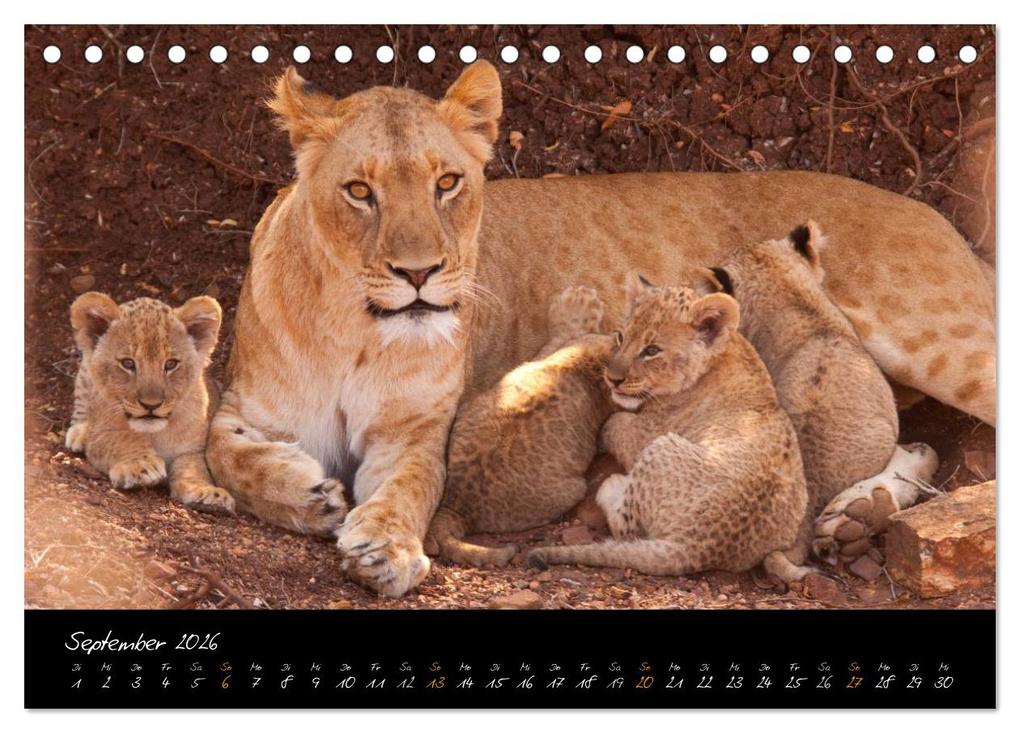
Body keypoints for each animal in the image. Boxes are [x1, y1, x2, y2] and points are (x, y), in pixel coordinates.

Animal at [67, 293, 233, 513]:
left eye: (171, 364)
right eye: (128, 363)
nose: (151, 405)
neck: (156, 433)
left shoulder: (191, 449)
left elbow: (194, 468)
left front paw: (206, 492)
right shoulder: (101, 434)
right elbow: (122, 439)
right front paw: (139, 465)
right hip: (86, 369)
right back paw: (79, 433)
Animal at [206, 61, 995, 597]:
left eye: (447, 183)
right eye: (359, 191)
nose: (420, 273)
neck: (357, 330)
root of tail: (931, 211)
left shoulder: (420, 431)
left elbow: (405, 489)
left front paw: (385, 547)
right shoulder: (247, 405)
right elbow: (227, 453)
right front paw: (305, 494)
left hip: (941, 339)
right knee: (915, 440)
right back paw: (857, 513)